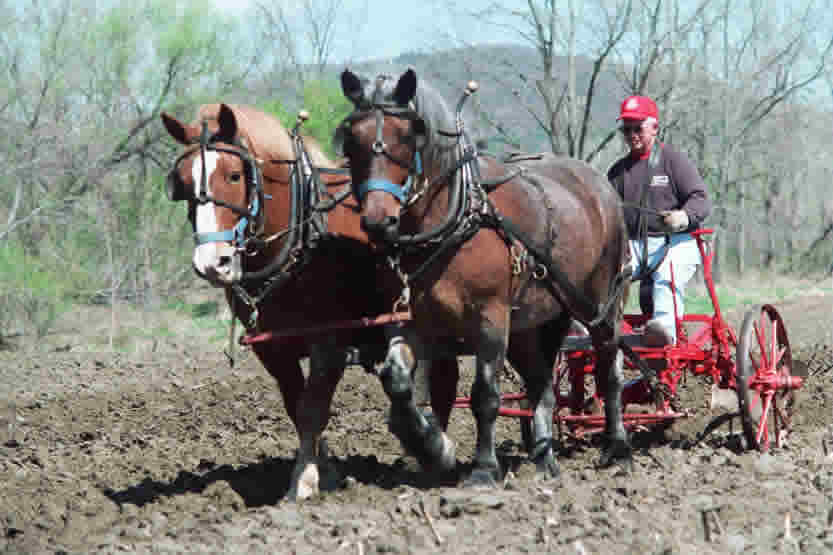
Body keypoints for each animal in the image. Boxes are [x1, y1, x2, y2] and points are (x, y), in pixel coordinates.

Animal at [160, 103, 461, 500]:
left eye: (235, 175)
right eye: (181, 183)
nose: (212, 262)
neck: (301, 244)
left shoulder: (328, 343)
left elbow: (313, 409)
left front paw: (303, 482)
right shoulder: (272, 350)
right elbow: (296, 406)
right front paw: (325, 471)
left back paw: (431, 449)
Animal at [336, 69, 632, 487]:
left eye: (409, 135)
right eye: (351, 139)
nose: (378, 221)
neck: (455, 218)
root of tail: (598, 184)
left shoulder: (491, 318)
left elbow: (485, 395)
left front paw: (483, 469)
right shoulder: (410, 319)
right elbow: (400, 382)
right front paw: (433, 448)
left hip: (599, 305)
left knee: (609, 370)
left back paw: (617, 449)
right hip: (533, 322)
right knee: (541, 385)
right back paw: (544, 458)